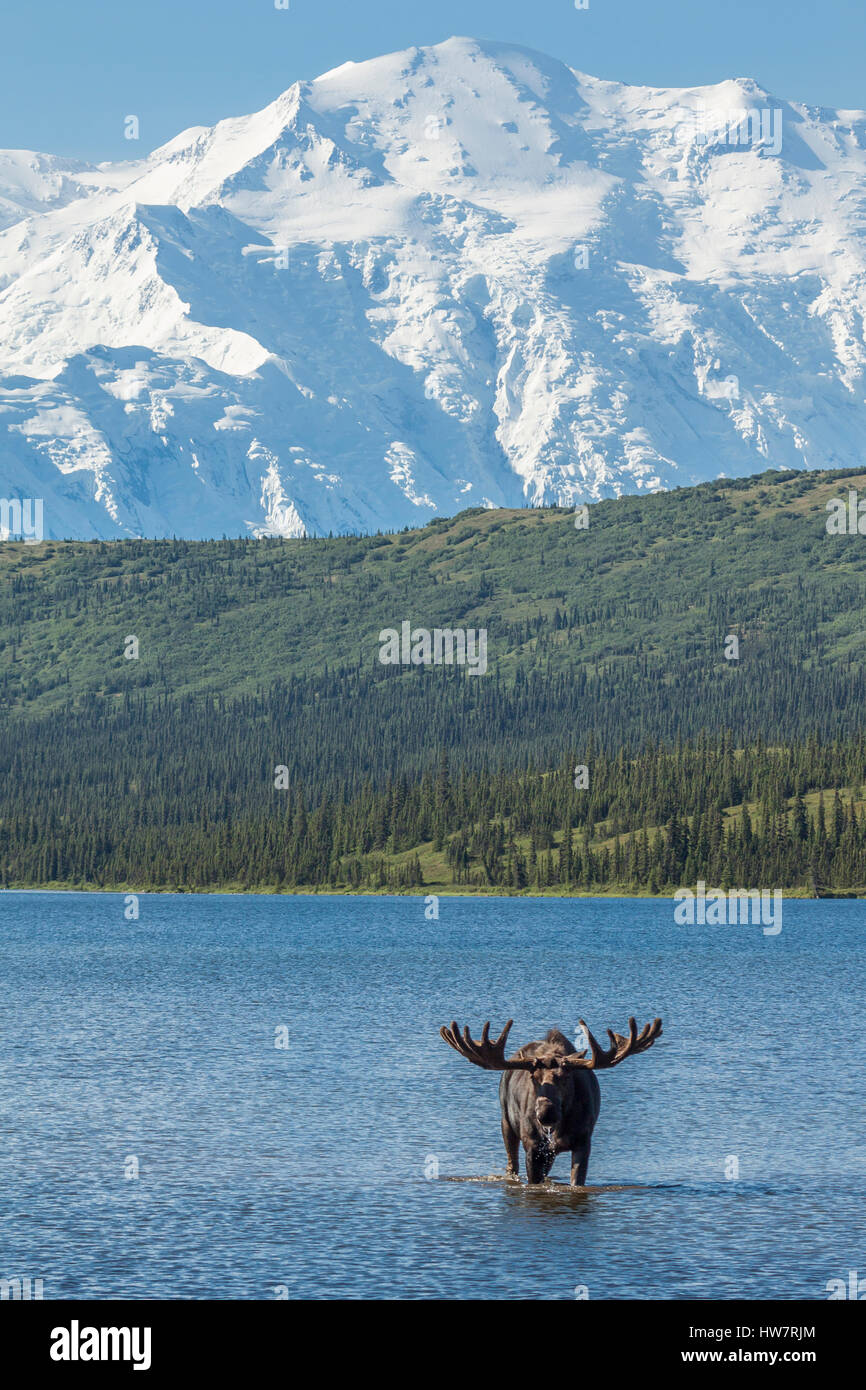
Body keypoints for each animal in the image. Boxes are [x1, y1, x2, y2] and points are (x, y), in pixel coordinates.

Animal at [439, 1011, 664, 1184]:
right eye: (533, 1077)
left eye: (566, 1077)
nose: (546, 1114)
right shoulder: (532, 1145)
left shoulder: (583, 1142)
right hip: (506, 1123)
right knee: (512, 1164)